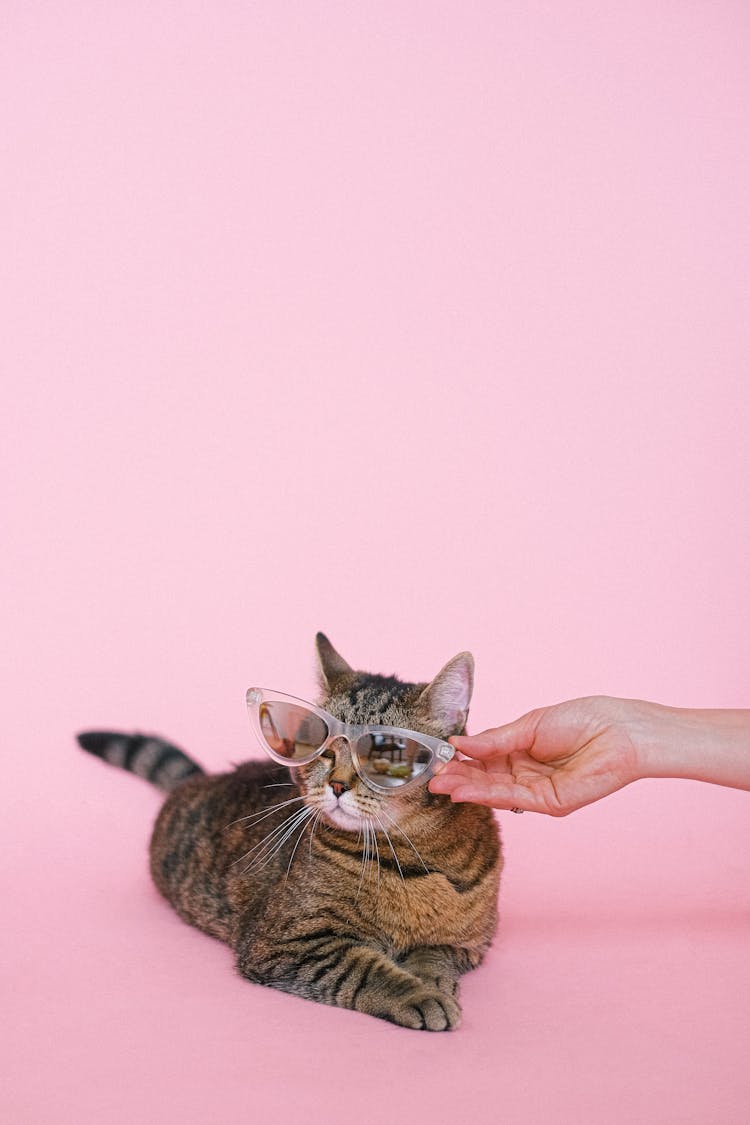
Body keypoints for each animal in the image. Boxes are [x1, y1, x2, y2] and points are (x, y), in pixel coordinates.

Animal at [76, 634, 501, 1030]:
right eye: (324, 749)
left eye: (386, 753)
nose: (337, 784)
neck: (415, 856)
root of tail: (207, 778)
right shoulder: (286, 941)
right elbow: (366, 969)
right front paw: (418, 994)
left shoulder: (469, 941)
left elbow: (434, 956)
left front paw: (433, 980)